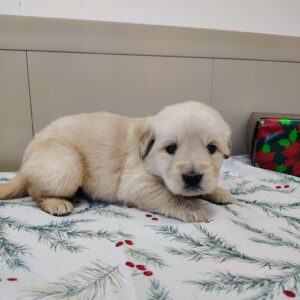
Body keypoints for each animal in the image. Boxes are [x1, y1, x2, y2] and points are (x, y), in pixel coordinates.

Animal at [0, 102, 232, 221]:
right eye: (171, 148)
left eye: (212, 148)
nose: (192, 178)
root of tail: (24, 164)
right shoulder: (137, 182)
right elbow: (170, 196)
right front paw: (193, 208)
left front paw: (219, 192)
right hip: (65, 166)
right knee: (34, 190)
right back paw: (55, 202)